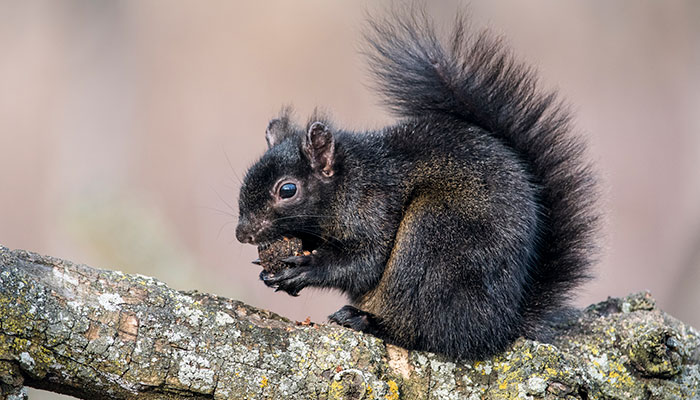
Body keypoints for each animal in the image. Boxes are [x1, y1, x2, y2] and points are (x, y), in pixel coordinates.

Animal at [234, 10, 596, 360]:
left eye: (288, 190)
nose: (243, 234)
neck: (349, 182)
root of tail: (504, 325)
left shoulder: (375, 208)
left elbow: (365, 263)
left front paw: (305, 268)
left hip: (432, 236)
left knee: (430, 333)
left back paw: (368, 322)